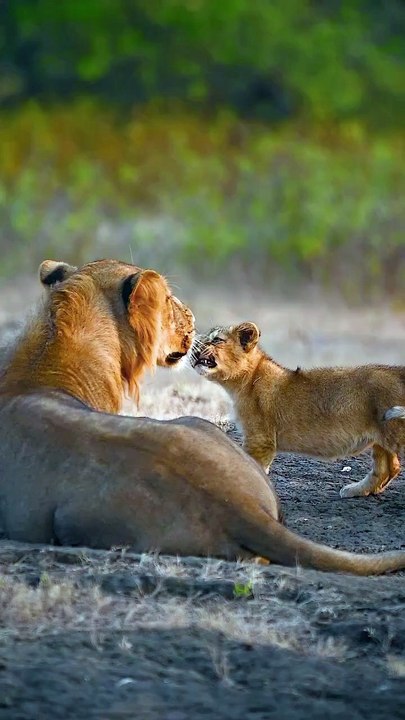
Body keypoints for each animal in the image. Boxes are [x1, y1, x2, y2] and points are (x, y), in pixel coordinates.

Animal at [190, 322, 405, 499]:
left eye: (216, 339)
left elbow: (251, 469)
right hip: (382, 435)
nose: (194, 343)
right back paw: (355, 490)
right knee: (388, 468)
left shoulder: (260, 440)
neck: (244, 382)